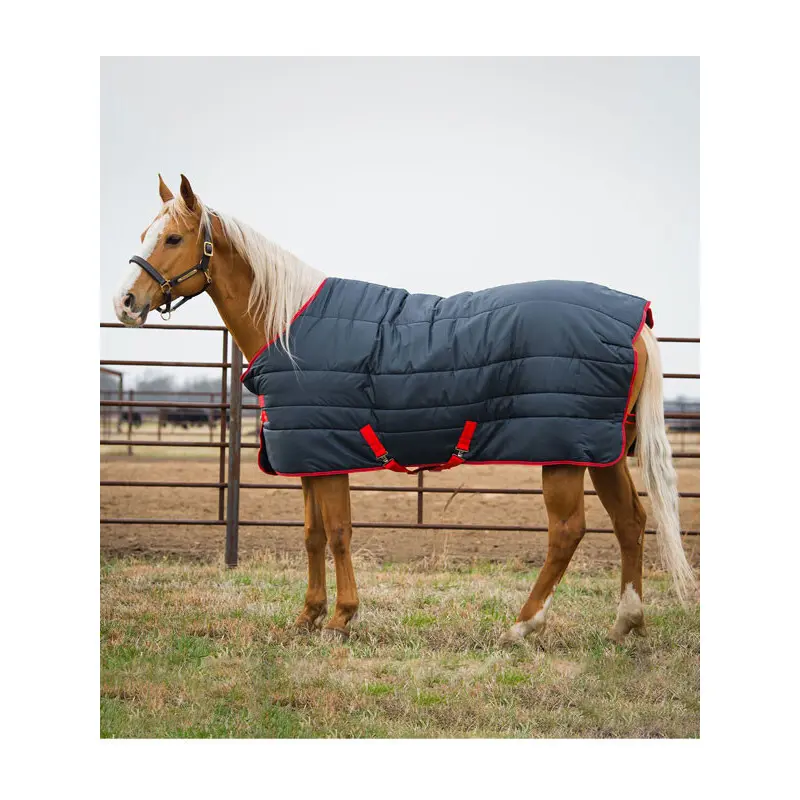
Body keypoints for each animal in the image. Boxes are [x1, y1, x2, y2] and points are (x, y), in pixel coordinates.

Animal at [112, 174, 696, 645]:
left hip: (562, 451)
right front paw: (307, 616)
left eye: (173, 238)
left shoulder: (330, 456)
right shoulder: (309, 457)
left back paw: (522, 625)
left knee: (567, 532)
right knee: (629, 520)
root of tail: (636, 321)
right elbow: (312, 536)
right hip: (601, 449)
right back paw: (626, 623)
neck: (290, 328)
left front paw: (341, 618)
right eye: (143, 235)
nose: (125, 303)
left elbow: (339, 533)